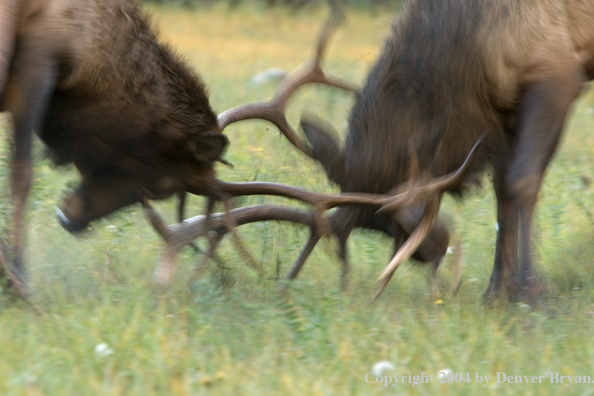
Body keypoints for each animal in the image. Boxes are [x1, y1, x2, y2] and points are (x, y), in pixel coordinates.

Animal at [147, 0, 592, 304]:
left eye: (391, 219)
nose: (431, 252)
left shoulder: (554, 69)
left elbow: (521, 182)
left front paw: (529, 291)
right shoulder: (501, 112)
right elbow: (503, 193)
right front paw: (496, 291)